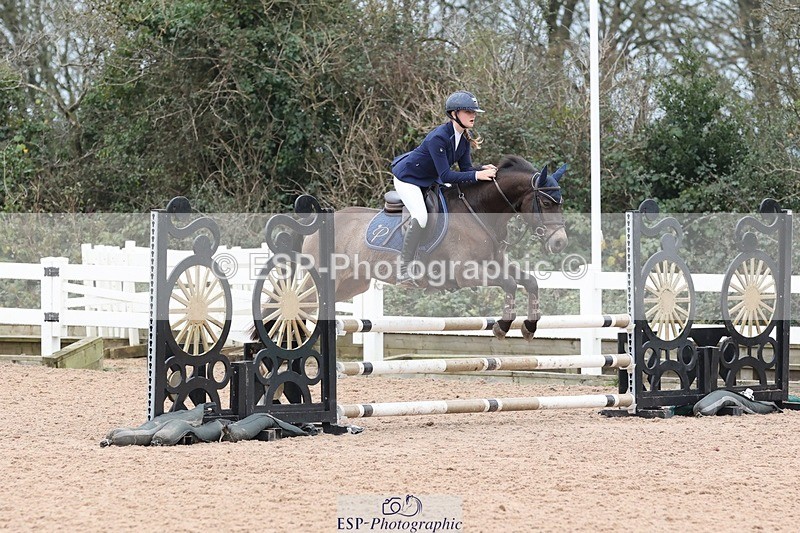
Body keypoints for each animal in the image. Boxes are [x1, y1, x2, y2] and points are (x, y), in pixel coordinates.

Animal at [298, 154, 569, 341]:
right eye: (546, 202)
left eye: (560, 202)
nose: (560, 242)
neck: (479, 212)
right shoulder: (466, 273)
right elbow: (510, 284)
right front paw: (502, 327)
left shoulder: (496, 264)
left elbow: (530, 281)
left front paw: (529, 327)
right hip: (320, 282)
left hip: (352, 284)